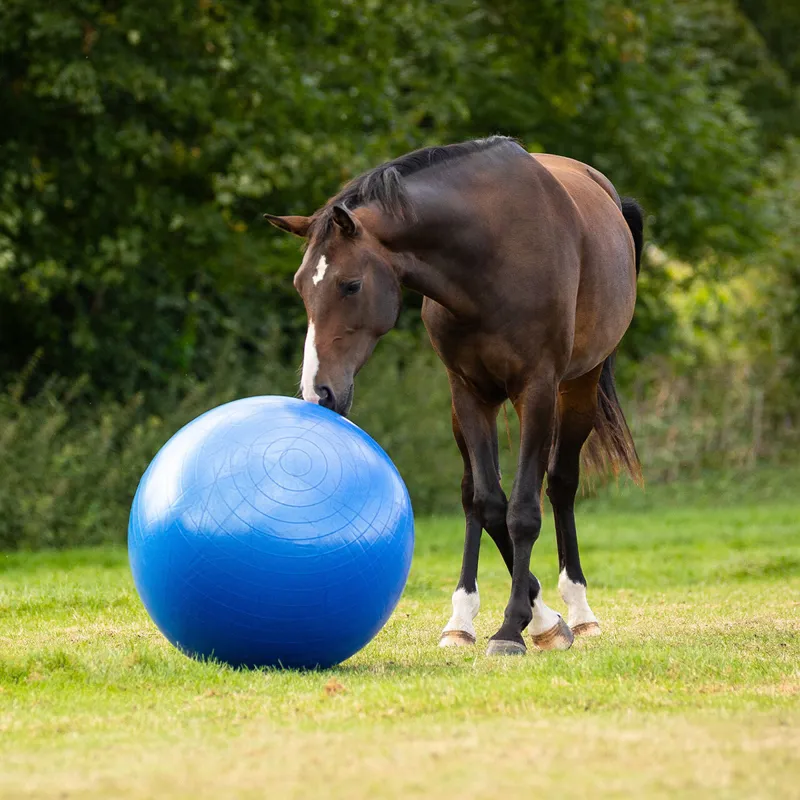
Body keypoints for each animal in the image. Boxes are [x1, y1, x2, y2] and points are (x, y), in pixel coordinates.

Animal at [265, 135, 643, 656]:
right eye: (301, 286)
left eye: (351, 285)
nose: (317, 391)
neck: (490, 254)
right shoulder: (469, 395)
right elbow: (490, 503)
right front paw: (537, 619)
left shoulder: (537, 391)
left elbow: (524, 511)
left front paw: (513, 630)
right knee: (474, 497)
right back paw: (464, 619)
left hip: (578, 389)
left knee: (561, 485)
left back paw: (580, 611)